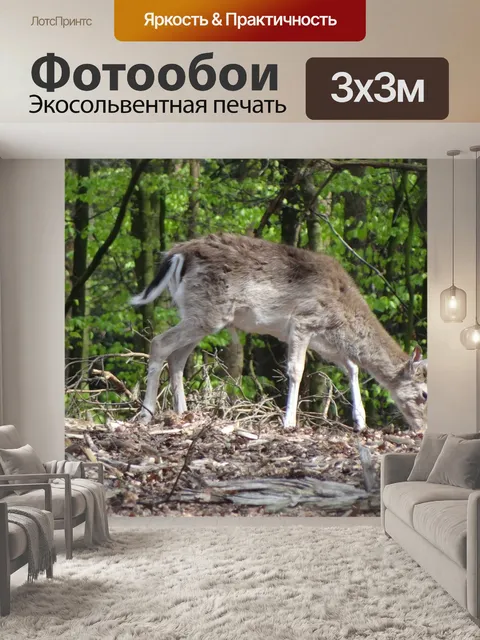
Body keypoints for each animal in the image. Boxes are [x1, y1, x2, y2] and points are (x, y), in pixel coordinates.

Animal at [130, 233, 428, 432]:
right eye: (425, 394)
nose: (422, 428)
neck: (340, 318)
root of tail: (176, 253)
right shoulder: (303, 322)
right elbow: (296, 370)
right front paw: (289, 422)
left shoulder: (323, 341)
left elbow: (352, 367)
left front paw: (360, 422)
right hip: (208, 313)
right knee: (159, 342)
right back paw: (146, 415)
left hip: (196, 313)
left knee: (177, 358)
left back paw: (182, 413)